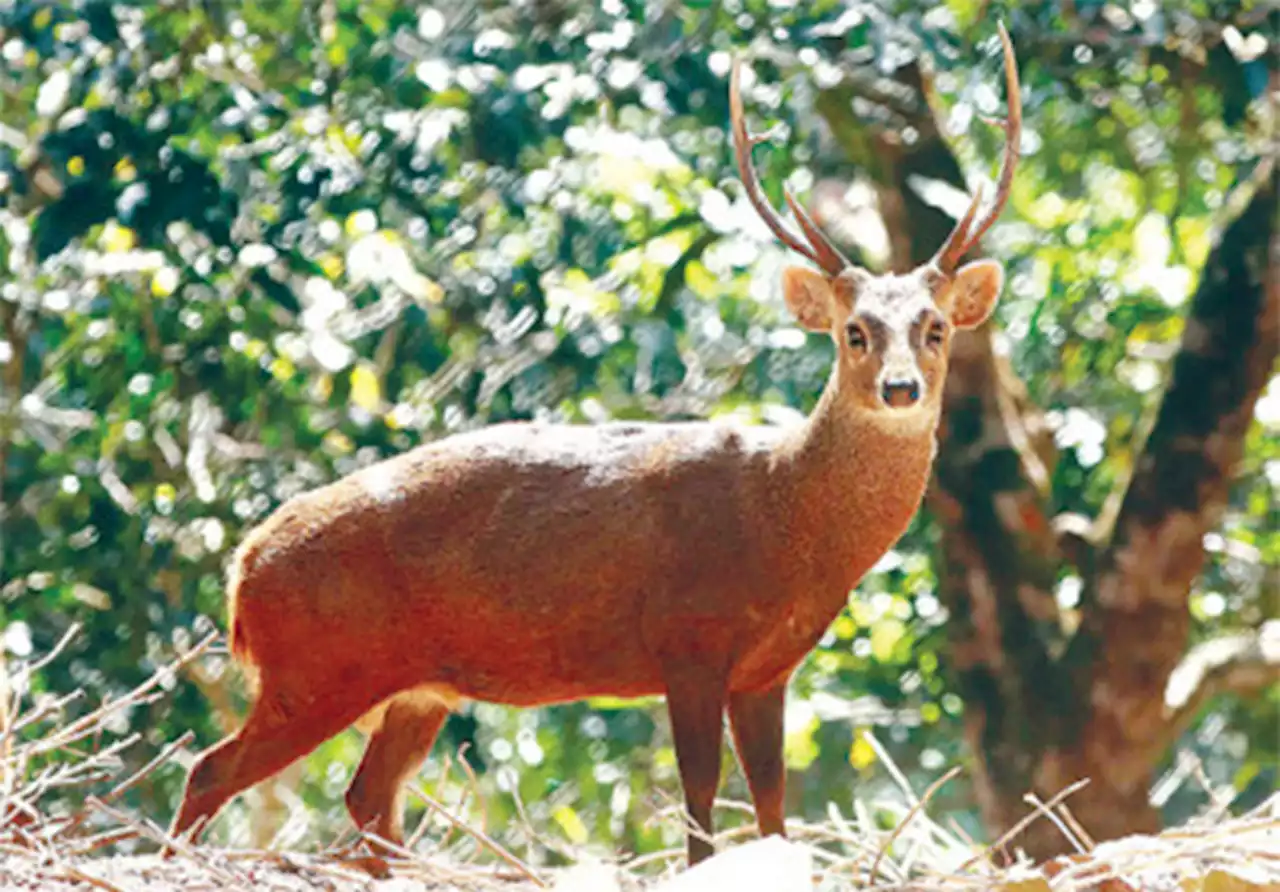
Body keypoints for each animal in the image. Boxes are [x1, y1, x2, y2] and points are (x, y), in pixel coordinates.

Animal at [175, 26, 1024, 865]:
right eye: (855, 332)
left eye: (934, 327)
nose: (901, 388)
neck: (787, 524)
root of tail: (242, 569)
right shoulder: (688, 639)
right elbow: (699, 802)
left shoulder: (766, 669)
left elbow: (773, 809)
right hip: (318, 664)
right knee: (210, 768)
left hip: (413, 685)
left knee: (365, 795)